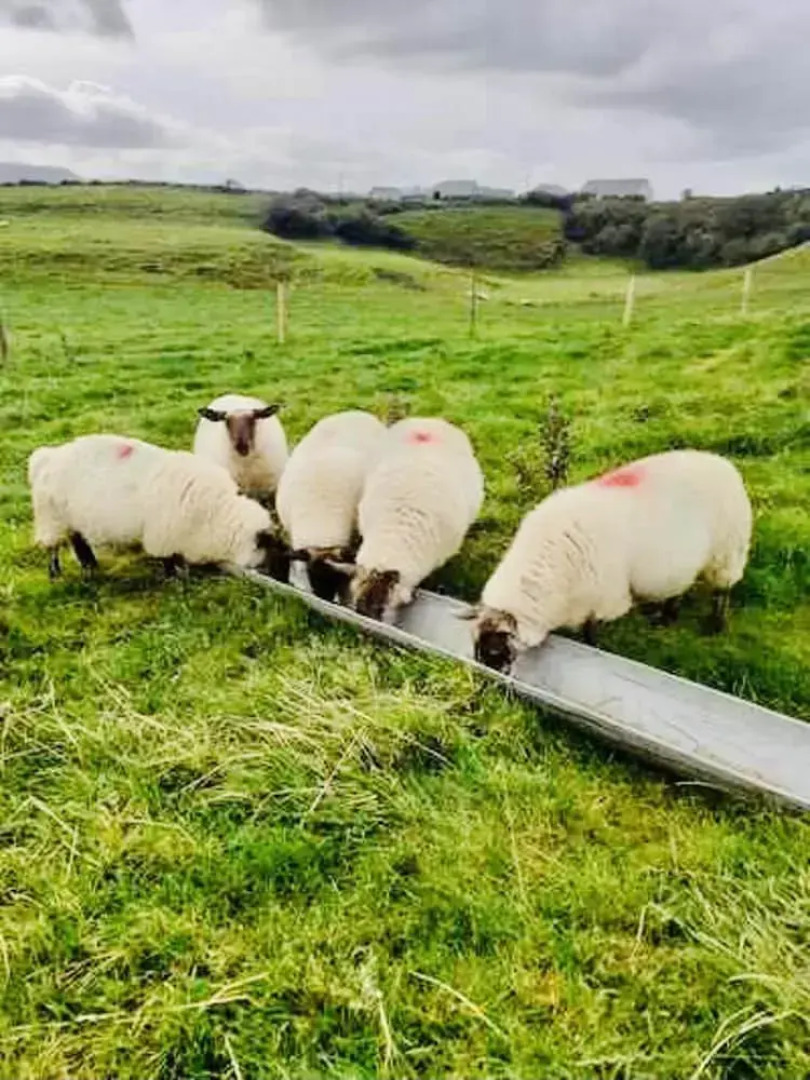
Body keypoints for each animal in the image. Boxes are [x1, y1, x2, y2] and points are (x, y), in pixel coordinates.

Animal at [28, 434, 290, 581]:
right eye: (272, 551)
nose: (280, 576)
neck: (218, 513)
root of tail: (45, 458)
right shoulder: (163, 535)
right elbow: (168, 559)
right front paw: (175, 578)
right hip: (51, 519)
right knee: (53, 548)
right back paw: (56, 574)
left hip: (71, 519)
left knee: (78, 540)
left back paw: (89, 566)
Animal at [468, 449, 753, 673]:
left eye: (494, 649)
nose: (487, 673)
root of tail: (724, 464)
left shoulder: (605, 599)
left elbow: (590, 631)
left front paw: (593, 647)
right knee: (679, 588)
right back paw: (666, 617)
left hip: (728, 552)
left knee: (723, 590)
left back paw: (715, 625)